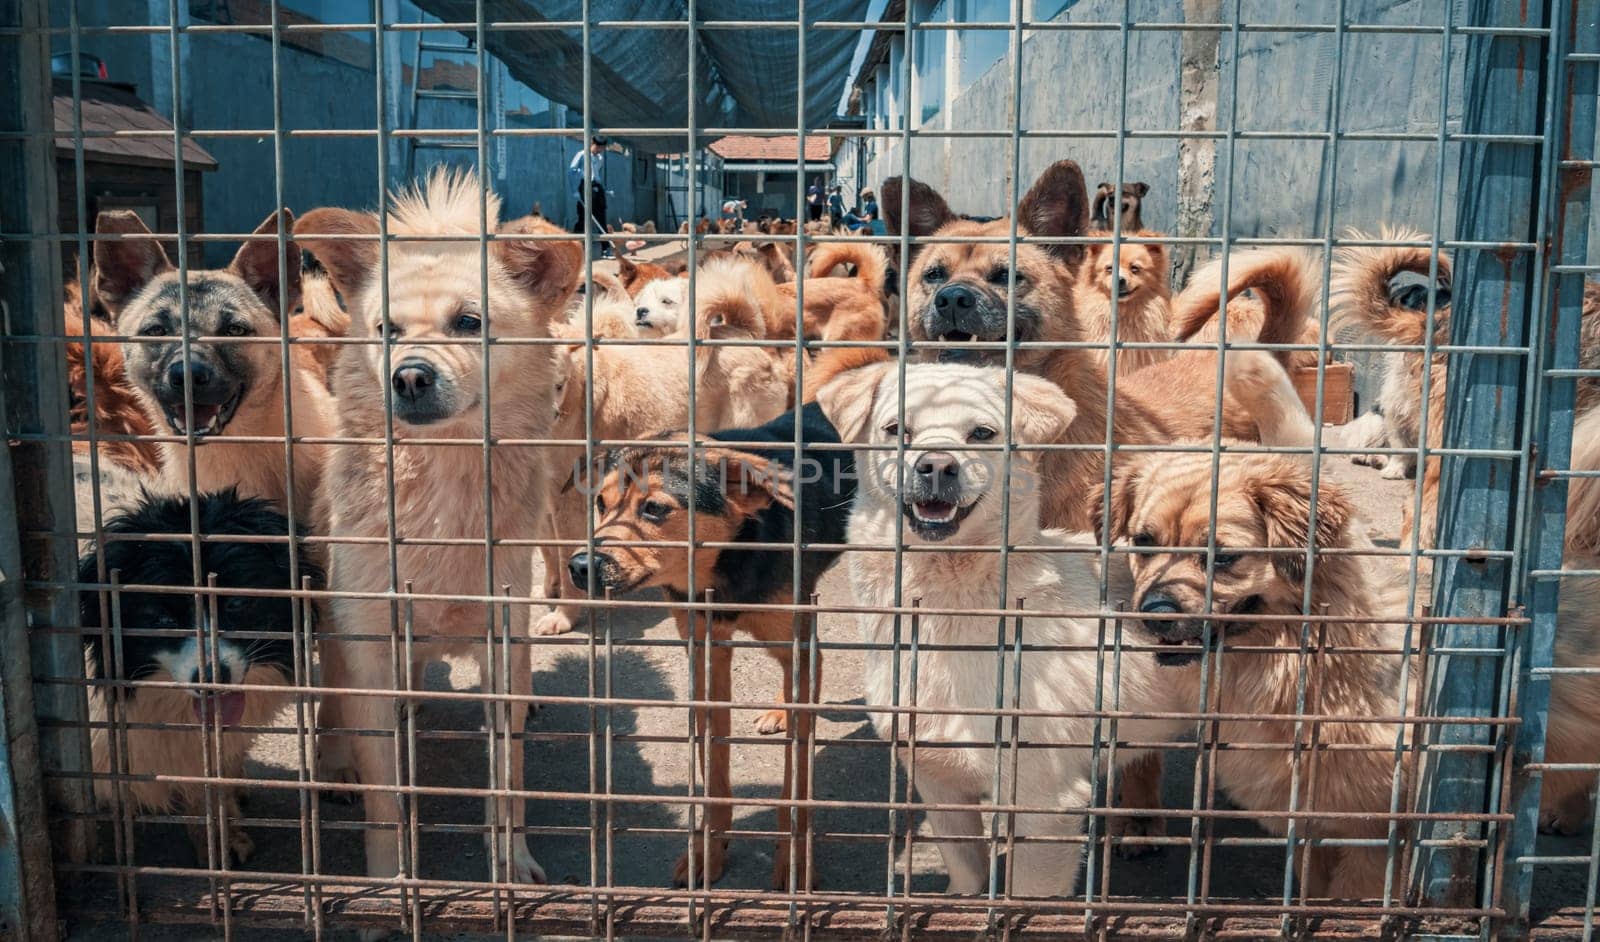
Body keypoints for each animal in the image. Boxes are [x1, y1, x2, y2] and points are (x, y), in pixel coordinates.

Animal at [569, 404, 857, 889]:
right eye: (600, 505)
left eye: (654, 508)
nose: (580, 566)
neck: (726, 568)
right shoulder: (704, 650)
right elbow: (714, 763)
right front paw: (708, 850)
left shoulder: (794, 633)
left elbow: (795, 779)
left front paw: (794, 860)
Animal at [825, 361, 1190, 895]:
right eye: (896, 430)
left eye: (982, 433)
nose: (936, 465)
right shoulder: (938, 781)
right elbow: (965, 875)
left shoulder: (1046, 803)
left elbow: (1026, 899)